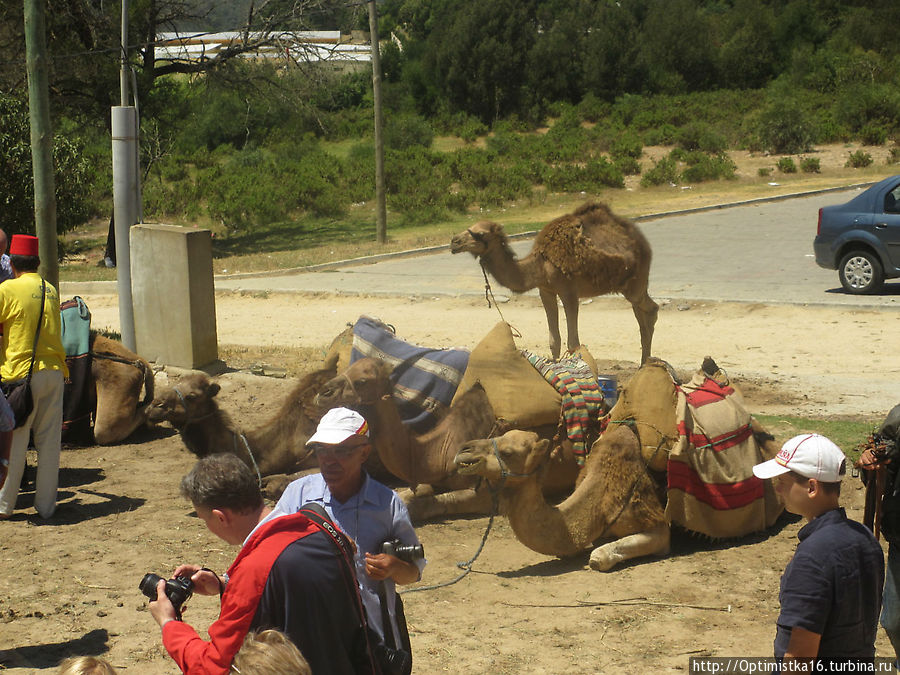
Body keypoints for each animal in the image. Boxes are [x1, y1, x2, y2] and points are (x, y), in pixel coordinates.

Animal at [312, 356, 580, 520]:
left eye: (362, 381)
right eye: (346, 369)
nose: (322, 394)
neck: (438, 450)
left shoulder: (489, 493)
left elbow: (425, 504)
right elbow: (410, 493)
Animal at [454, 201, 656, 364]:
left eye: (479, 233)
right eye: (470, 227)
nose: (454, 242)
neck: (541, 264)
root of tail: (643, 242)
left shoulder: (569, 291)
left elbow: (573, 343)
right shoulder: (546, 290)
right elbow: (554, 340)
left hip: (636, 282)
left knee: (650, 309)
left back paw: (644, 365)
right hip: (629, 286)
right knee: (642, 315)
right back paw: (644, 363)